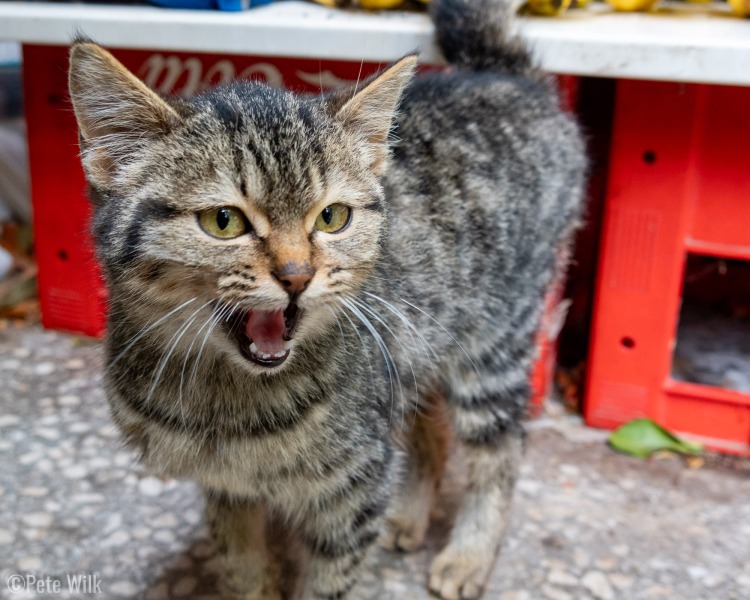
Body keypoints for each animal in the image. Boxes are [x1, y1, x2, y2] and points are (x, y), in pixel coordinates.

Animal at [69, 0, 588, 596]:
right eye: (223, 221)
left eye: (333, 217)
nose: (297, 275)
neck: (226, 400)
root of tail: (500, 74)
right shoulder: (226, 488)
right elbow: (239, 562)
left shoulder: (357, 486)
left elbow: (329, 581)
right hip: (418, 348)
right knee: (428, 424)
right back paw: (410, 515)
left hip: (495, 343)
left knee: (501, 450)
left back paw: (468, 557)